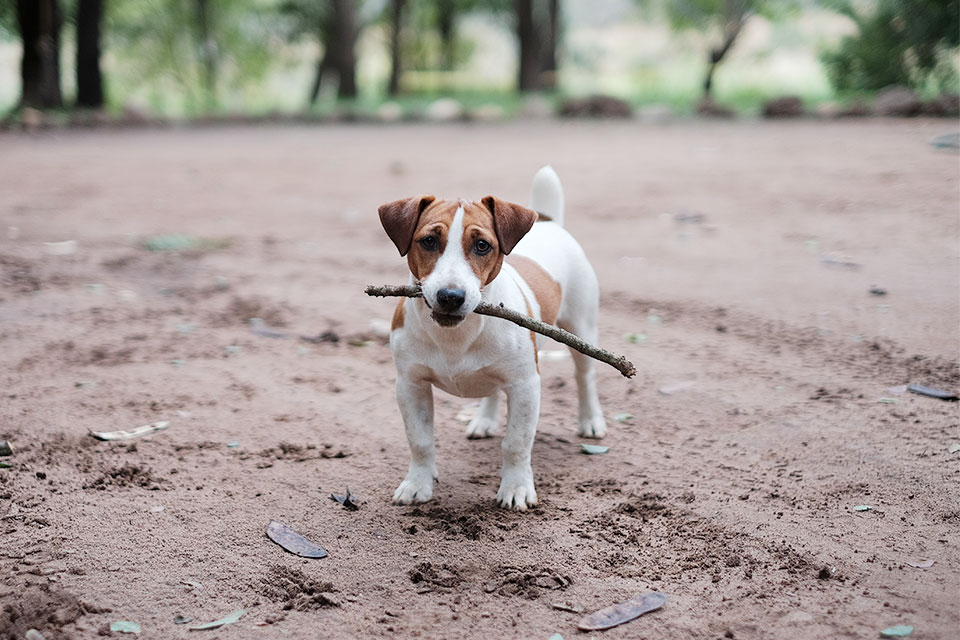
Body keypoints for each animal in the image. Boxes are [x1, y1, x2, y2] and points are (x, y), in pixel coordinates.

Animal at [378, 165, 604, 510]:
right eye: (428, 241)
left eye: (482, 246)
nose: (450, 297)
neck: (456, 336)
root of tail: (547, 221)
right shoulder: (410, 385)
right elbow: (420, 440)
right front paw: (417, 484)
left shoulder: (526, 386)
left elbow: (516, 443)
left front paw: (516, 488)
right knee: (492, 388)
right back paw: (484, 420)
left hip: (581, 329)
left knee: (585, 377)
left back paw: (591, 420)